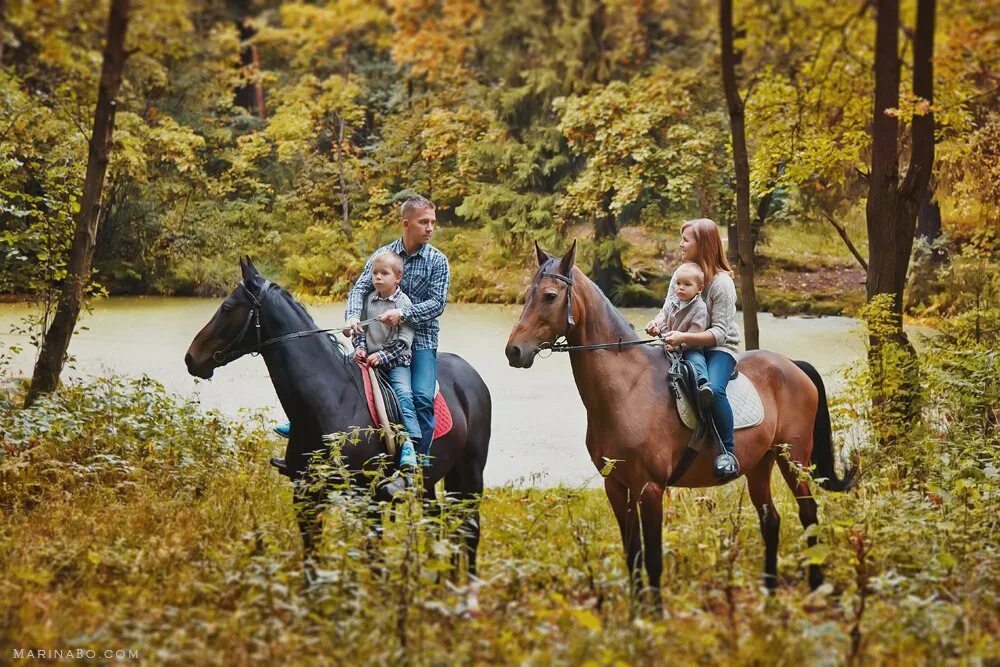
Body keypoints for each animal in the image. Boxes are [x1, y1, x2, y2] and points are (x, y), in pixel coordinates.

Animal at [187, 258, 492, 580]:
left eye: (227, 308)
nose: (191, 358)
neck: (331, 400)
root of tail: (471, 374)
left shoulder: (370, 501)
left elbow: (374, 561)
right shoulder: (306, 496)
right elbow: (313, 561)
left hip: (470, 475)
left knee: (470, 532)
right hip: (431, 482)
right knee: (439, 526)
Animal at [504, 244, 856, 612]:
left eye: (550, 296)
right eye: (528, 294)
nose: (514, 351)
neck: (626, 388)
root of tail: (793, 366)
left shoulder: (650, 489)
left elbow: (653, 559)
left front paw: (655, 616)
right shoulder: (616, 486)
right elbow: (633, 554)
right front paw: (636, 614)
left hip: (794, 459)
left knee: (809, 514)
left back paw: (815, 588)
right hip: (761, 463)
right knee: (770, 519)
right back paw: (768, 594)